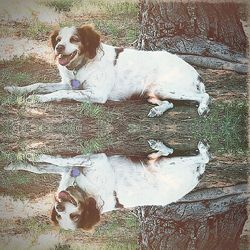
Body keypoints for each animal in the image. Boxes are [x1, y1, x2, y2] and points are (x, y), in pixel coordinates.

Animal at [4, 24, 210, 116]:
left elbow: (59, 93)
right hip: (152, 92)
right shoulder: (68, 83)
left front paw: (38, 99)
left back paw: (203, 108)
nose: (59, 48)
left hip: (165, 87)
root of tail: (194, 71)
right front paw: (16, 89)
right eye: (58, 39)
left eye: (74, 39)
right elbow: (38, 84)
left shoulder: (96, 93)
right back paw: (157, 111)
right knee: (170, 104)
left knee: (204, 96)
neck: (82, 65)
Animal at [4, 141, 210, 230]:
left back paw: (202, 149)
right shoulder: (70, 169)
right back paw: (159, 146)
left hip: (167, 165)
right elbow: (38, 168)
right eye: (59, 214)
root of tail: (197, 176)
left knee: (205, 158)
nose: (59, 205)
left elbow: (53, 158)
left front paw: (30, 153)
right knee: (168, 152)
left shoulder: (92, 159)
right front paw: (16, 164)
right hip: (157, 161)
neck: (87, 191)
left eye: (74, 216)